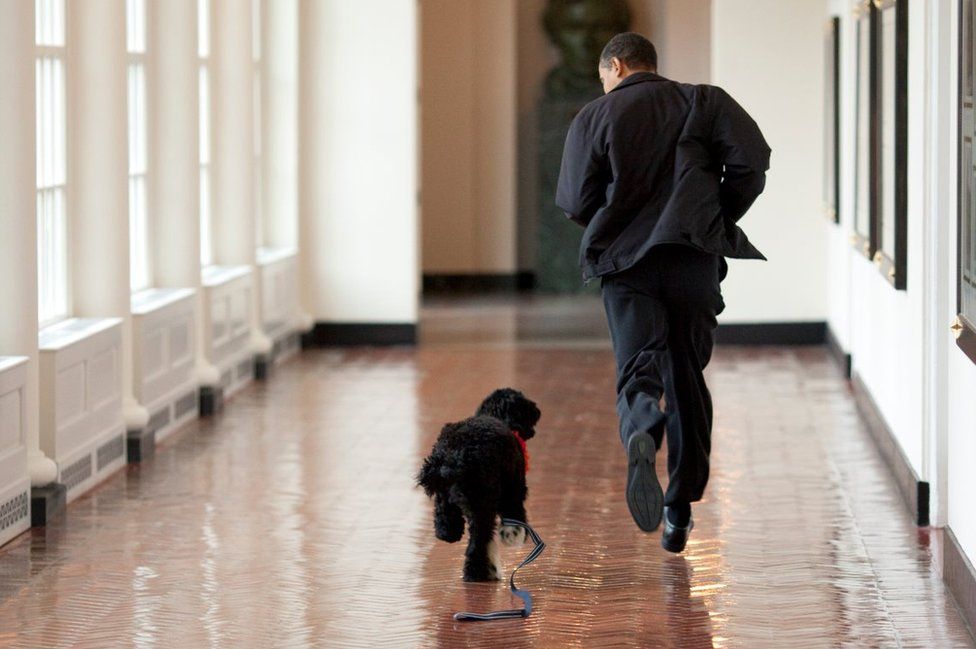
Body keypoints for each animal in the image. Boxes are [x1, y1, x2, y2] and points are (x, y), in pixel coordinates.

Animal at [416, 388, 540, 580]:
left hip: (448, 497)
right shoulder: (513, 491)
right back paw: (477, 572)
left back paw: (449, 534)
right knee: (478, 541)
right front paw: (513, 535)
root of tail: (453, 457)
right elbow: (515, 518)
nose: (537, 411)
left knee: (446, 521)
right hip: (483, 503)